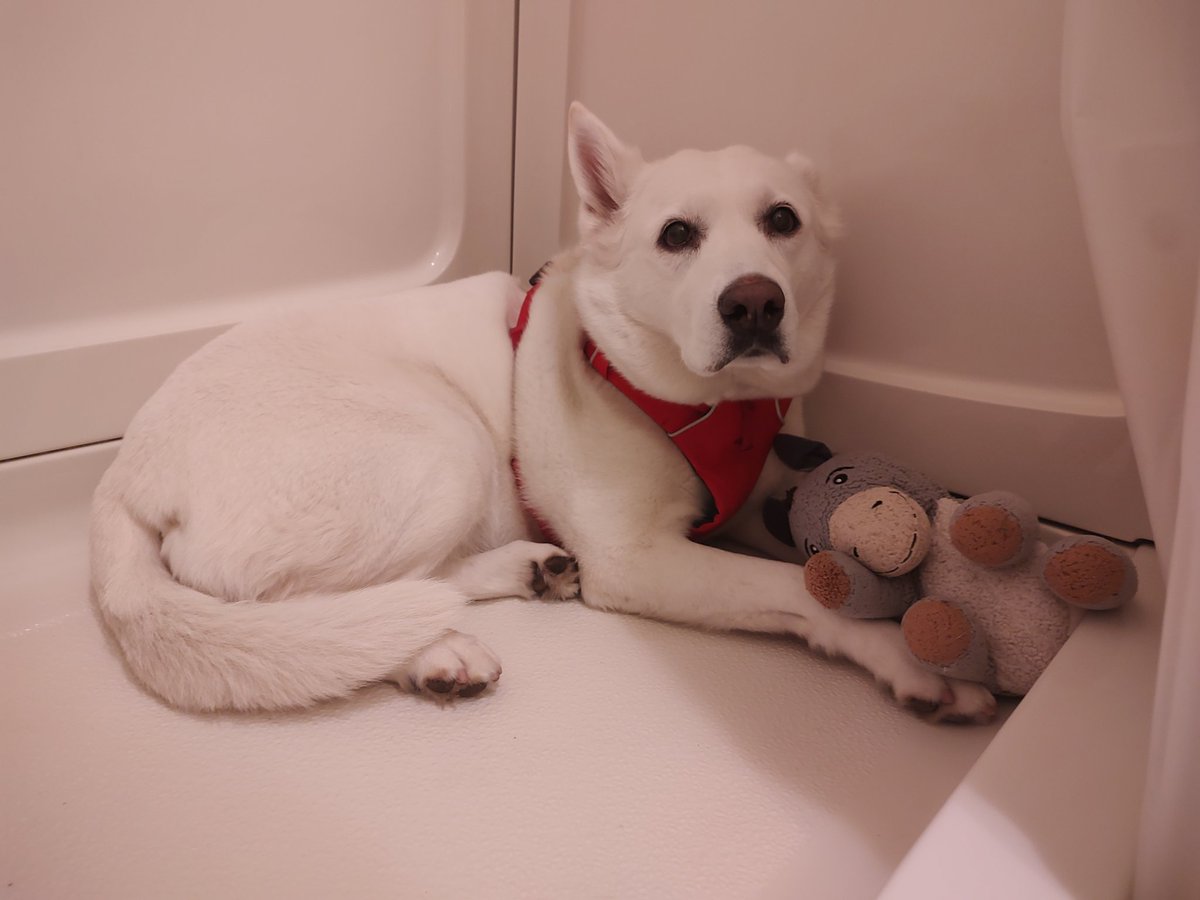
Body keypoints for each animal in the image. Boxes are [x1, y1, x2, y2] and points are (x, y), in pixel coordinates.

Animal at [88, 103, 998, 724]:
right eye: (677, 235)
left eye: (783, 221)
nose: (754, 305)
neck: (705, 409)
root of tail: (122, 478)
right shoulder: (638, 560)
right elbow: (802, 591)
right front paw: (911, 653)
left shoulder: (750, 497)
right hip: (442, 445)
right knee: (328, 610)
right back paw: (433, 646)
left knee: (419, 584)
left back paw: (524, 575)